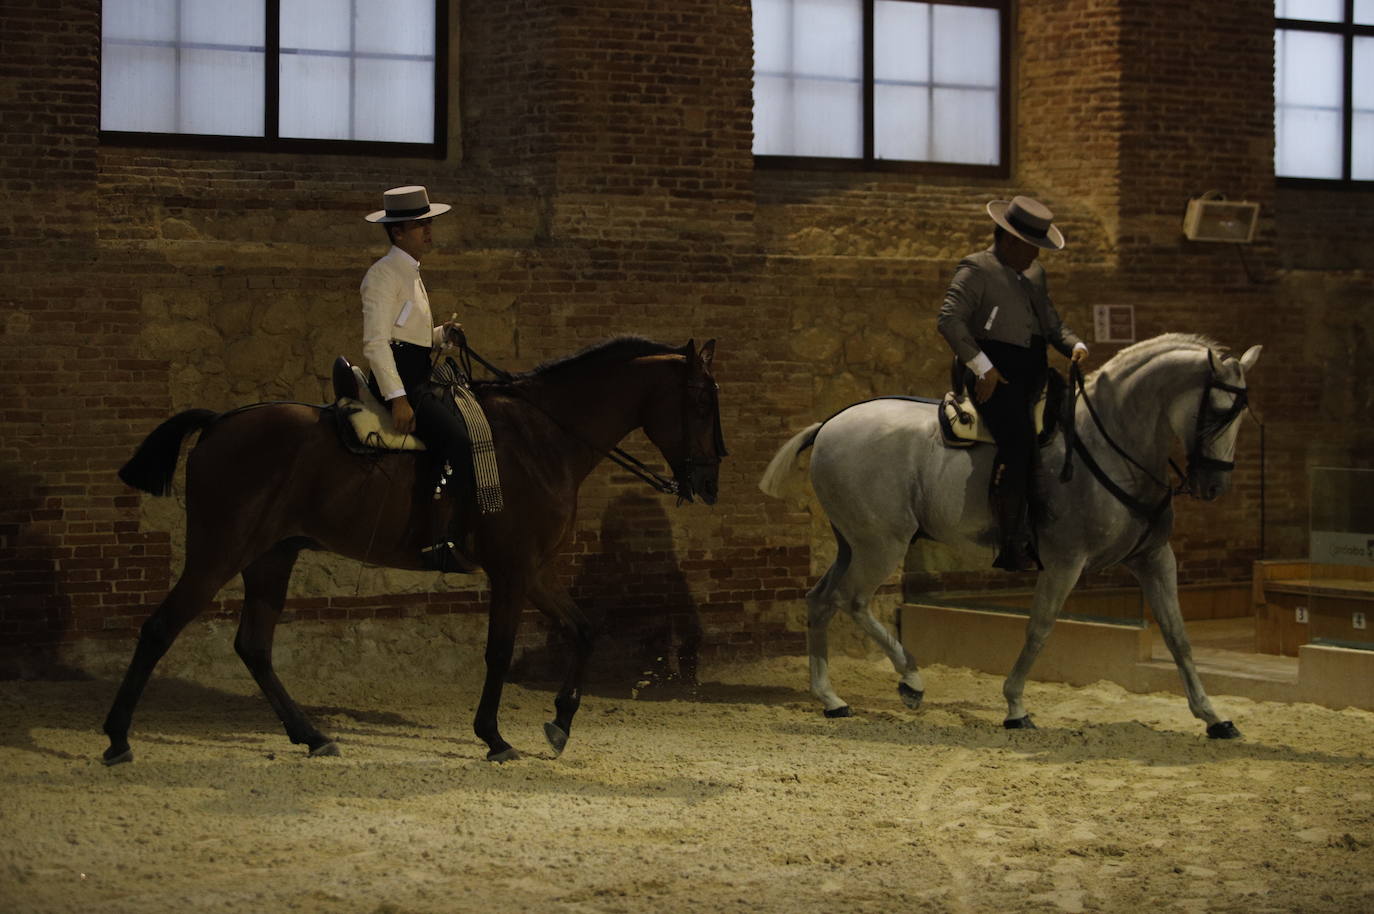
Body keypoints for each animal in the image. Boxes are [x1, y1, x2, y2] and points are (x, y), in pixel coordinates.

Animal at [101, 335, 725, 764]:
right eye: (700, 401)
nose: (709, 481)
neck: (540, 438)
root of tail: (219, 423)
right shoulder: (512, 571)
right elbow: (499, 652)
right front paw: (494, 737)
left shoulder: (533, 570)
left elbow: (585, 629)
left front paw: (561, 723)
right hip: (220, 552)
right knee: (160, 629)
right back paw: (116, 738)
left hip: (271, 557)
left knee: (253, 646)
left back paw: (312, 737)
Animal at [758, 331, 1258, 736]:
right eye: (1215, 413)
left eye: (1241, 416)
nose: (1214, 486)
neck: (1107, 446)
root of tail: (830, 424)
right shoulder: (1064, 561)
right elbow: (1040, 628)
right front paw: (1016, 705)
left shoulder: (1154, 557)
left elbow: (1177, 635)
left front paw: (1213, 716)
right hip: (881, 546)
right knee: (854, 601)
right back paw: (910, 680)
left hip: (852, 544)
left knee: (820, 601)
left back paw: (831, 698)